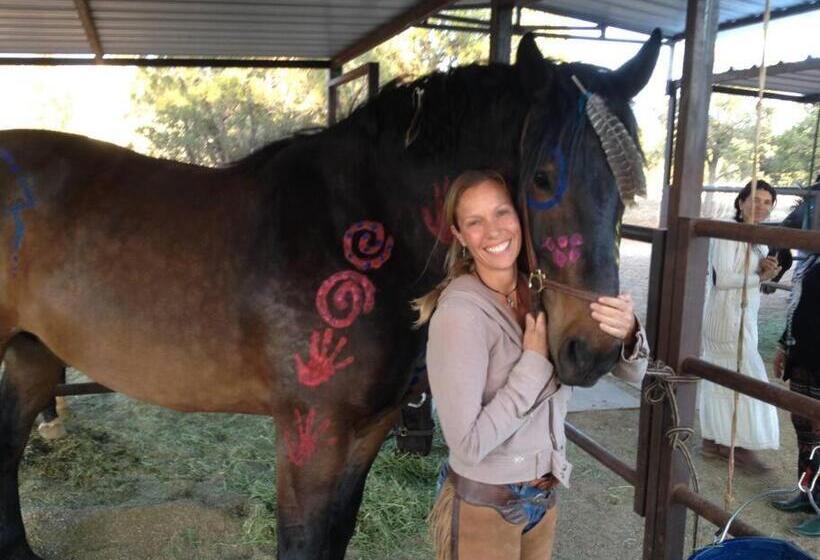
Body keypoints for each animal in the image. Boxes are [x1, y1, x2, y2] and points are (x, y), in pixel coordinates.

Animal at [0, 31, 660, 559]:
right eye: (543, 179)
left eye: (631, 189)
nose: (595, 348)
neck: (362, 226)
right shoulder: (310, 432)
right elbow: (302, 540)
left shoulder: (366, 430)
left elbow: (335, 534)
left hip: (32, 353)